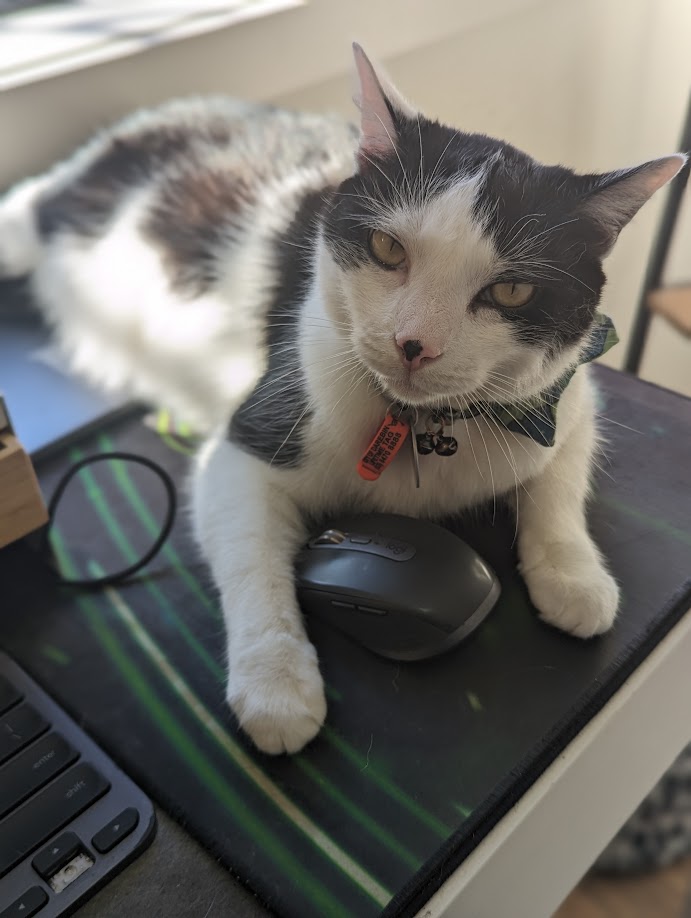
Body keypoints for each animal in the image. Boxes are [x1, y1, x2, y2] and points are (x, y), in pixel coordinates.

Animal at [0, 45, 684, 756]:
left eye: (513, 291)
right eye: (387, 248)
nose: (415, 344)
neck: (426, 425)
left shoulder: (568, 399)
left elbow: (558, 486)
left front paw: (574, 578)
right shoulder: (248, 444)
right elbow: (253, 562)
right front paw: (275, 684)